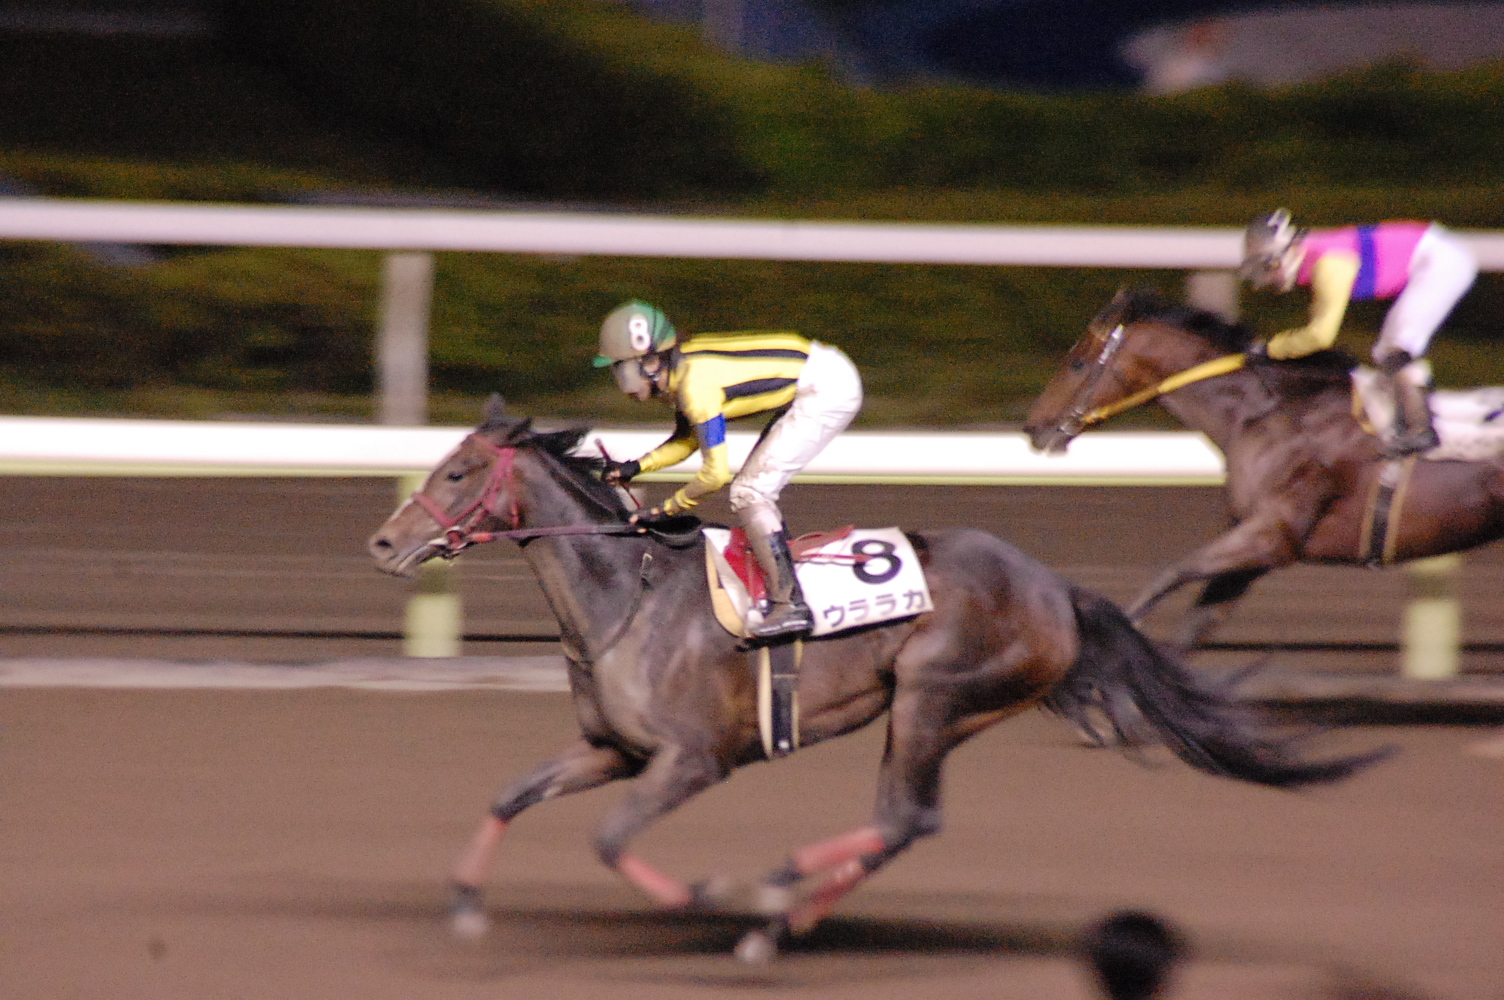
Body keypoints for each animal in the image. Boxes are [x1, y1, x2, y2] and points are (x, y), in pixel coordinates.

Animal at [367, 395, 1385, 963]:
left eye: (457, 471)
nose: (381, 543)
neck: (628, 595)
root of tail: (1056, 589)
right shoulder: (611, 750)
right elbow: (510, 793)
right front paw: (465, 905)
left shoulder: (694, 760)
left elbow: (613, 841)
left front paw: (717, 894)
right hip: (949, 708)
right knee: (905, 824)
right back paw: (778, 921)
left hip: (937, 691)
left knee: (905, 817)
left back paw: (776, 894)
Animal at [1024, 287, 1504, 649]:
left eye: (1077, 363)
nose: (1034, 427)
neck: (1268, 414)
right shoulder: (1251, 545)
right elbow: (1194, 629)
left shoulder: (1274, 535)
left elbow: (1170, 572)